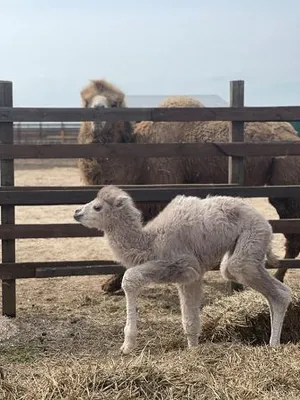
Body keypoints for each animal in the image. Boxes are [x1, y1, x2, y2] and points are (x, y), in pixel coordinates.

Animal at [74, 186, 292, 354]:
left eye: (97, 207)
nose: (76, 212)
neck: (151, 241)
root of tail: (266, 223)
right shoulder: (190, 276)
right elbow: (190, 320)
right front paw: (193, 350)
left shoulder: (182, 265)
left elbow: (129, 277)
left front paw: (127, 346)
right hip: (243, 251)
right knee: (266, 289)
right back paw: (273, 340)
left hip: (249, 243)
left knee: (275, 289)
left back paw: (273, 345)